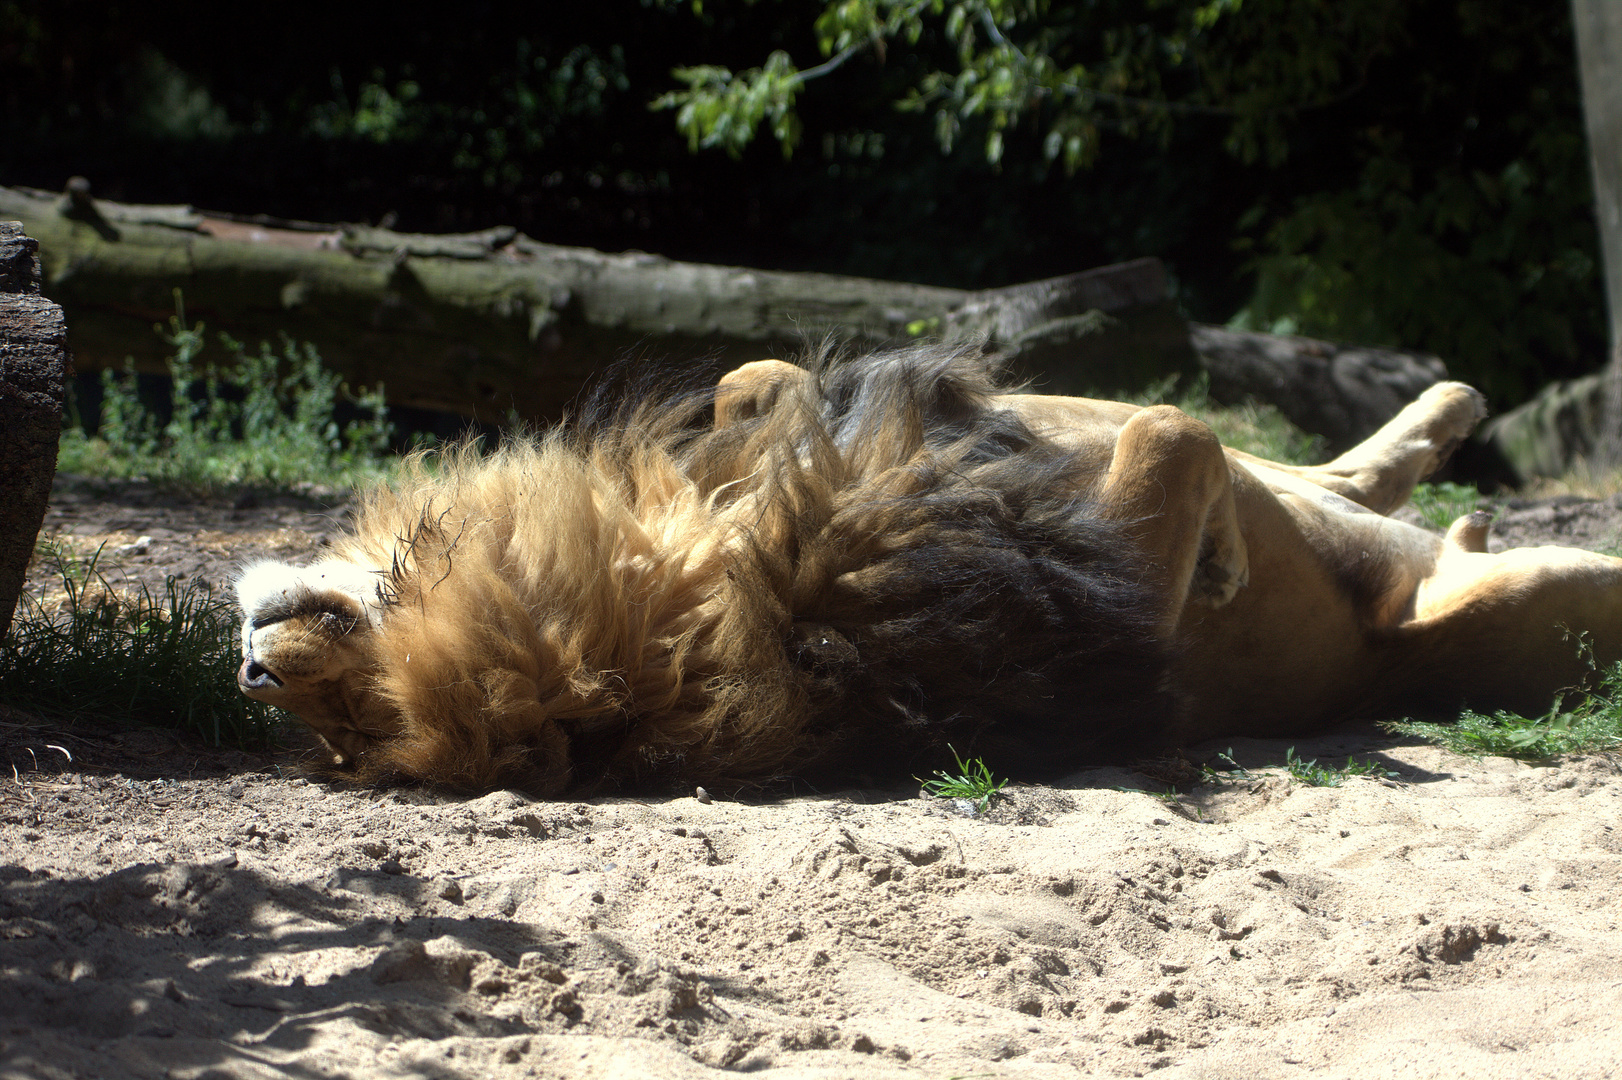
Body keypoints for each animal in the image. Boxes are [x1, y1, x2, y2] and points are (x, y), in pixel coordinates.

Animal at [231, 345, 1622, 791]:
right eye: (353, 732)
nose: (255, 672)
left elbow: (757, 382)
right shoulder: (1096, 597)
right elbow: (1174, 434)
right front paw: (1223, 560)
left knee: (1344, 472)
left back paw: (1439, 419)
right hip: (1552, 593)